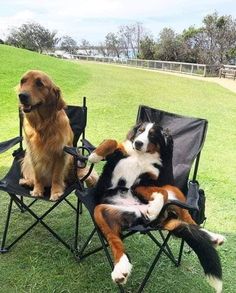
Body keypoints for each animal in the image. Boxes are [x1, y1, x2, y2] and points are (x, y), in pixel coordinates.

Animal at [88, 121, 223, 292]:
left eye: (152, 135)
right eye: (140, 130)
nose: (138, 143)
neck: (141, 156)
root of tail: (154, 221)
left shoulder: (145, 182)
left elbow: (161, 192)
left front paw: (153, 208)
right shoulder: (122, 159)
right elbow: (112, 141)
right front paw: (94, 155)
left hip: (174, 190)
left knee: (187, 217)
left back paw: (213, 236)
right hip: (100, 211)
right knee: (115, 241)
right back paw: (121, 268)